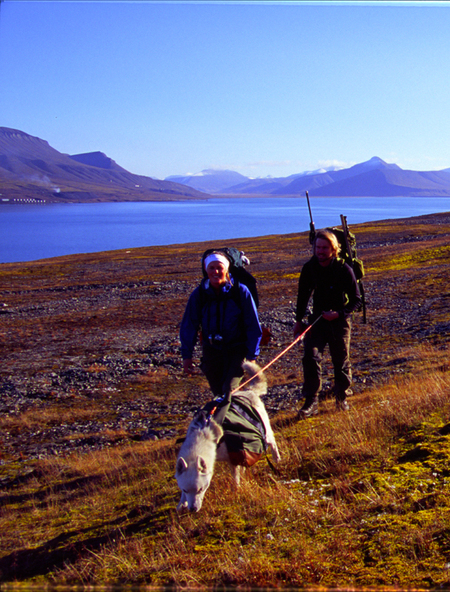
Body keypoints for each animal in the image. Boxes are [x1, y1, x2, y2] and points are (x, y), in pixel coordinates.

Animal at [177, 360, 280, 512]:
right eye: (185, 490)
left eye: (201, 489)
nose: (193, 509)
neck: (203, 432)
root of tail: (249, 391)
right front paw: (182, 503)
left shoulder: (234, 456)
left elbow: (235, 477)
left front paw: (235, 491)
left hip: (265, 432)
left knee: (272, 442)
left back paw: (277, 458)